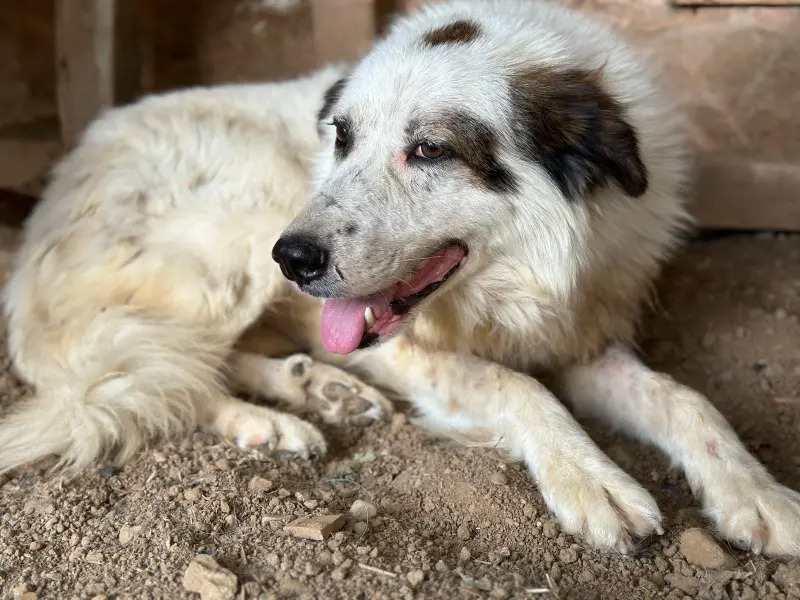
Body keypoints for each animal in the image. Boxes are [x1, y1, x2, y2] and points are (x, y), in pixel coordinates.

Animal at [2, 0, 799, 555]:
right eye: (342, 137)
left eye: (430, 150)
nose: (293, 259)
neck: (520, 278)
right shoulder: (413, 351)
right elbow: (519, 387)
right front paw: (592, 479)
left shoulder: (577, 337)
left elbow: (686, 400)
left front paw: (757, 494)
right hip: (241, 222)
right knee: (162, 378)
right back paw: (270, 420)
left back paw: (317, 390)